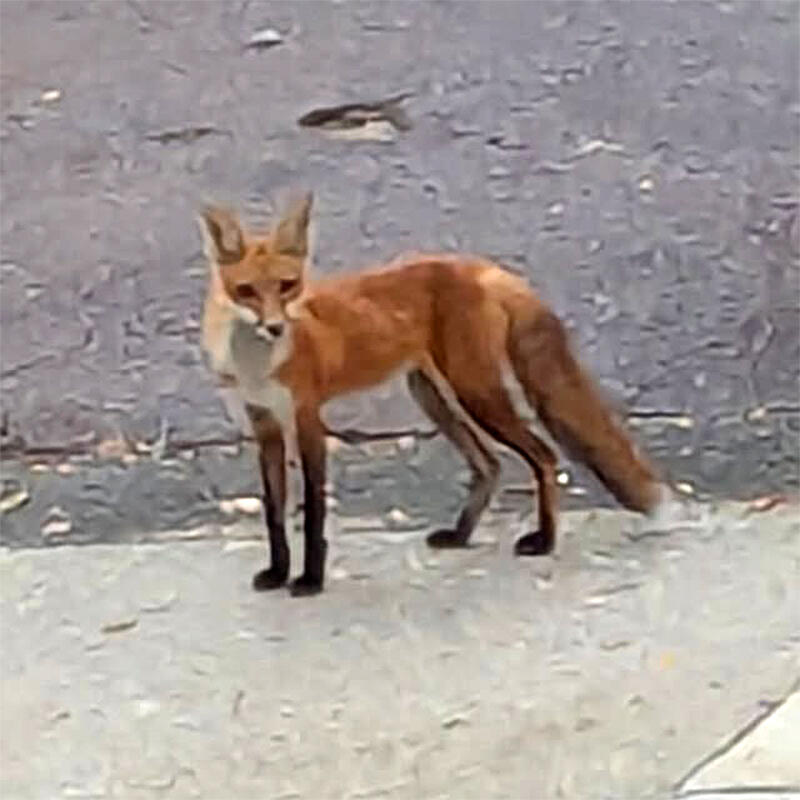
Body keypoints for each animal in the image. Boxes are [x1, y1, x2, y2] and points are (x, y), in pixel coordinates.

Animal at [199, 192, 674, 596]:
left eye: (287, 285)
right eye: (246, 291)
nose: (275, 327)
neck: (258, 363)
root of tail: (480, 267)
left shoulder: (308, 419)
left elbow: (314, 513)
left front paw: (311, 579)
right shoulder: (264, 425)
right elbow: (274, 513)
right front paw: (278, 572)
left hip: (475, 392)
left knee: (543, 455)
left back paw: (545, 541)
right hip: (432, 397)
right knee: (489, 465)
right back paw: (461, 535)